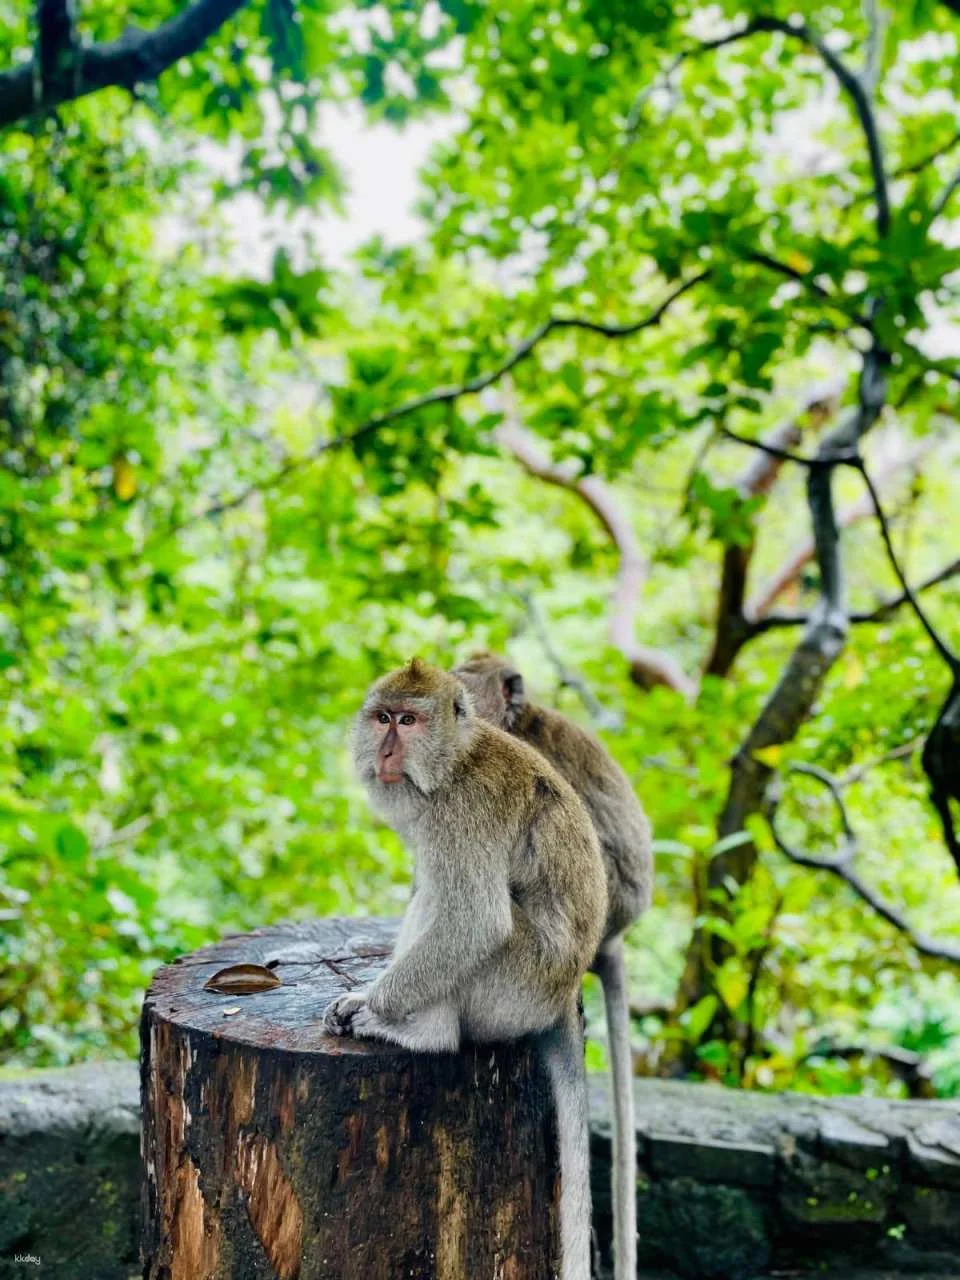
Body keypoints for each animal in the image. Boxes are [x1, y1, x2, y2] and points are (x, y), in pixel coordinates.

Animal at [323, 658, 607, 1280]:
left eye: (408, 721)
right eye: (382, 717)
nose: (385, 750)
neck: (453, 764)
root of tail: (565, 993)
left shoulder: (461, 814)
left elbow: (475, 918)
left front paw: (372, 1003)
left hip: (516, 986)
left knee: (453, 903)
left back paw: (421, 1030)